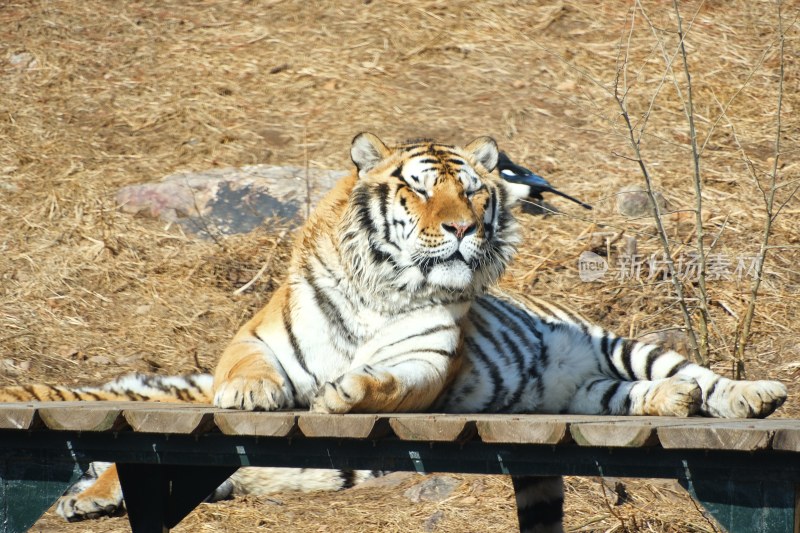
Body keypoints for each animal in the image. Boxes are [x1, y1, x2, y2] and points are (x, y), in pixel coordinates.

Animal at [0, 133, 788, 532]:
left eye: (473, 189)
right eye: (418, 188)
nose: (464, 229)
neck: (382, 285)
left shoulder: (429, 365)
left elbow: (385, 380)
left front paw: (345, 390)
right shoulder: (255, 339)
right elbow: (247, 372)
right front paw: (254, 396)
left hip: (619, 348)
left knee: (696, 376)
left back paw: (749, 397)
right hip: (589, 392)